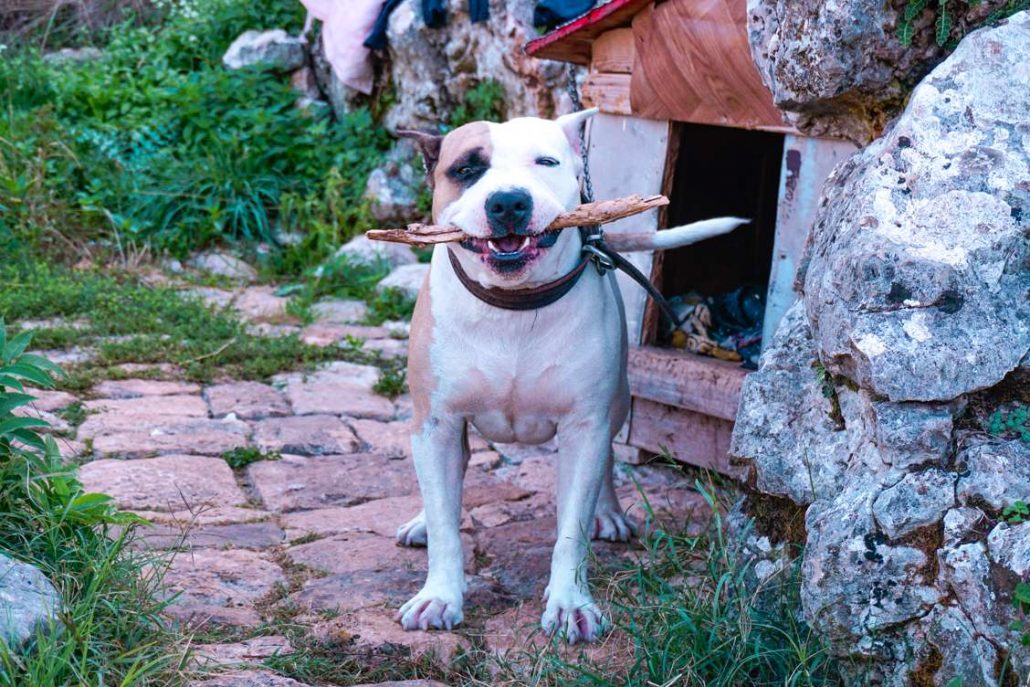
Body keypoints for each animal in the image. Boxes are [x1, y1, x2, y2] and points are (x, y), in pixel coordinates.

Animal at [395, 110, 749, 642]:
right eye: (466, 170)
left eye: (546, 162)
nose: (508, 202)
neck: (513, 307)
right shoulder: (436, 421)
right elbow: (444, 523)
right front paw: (439, 596)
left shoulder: (585, 424)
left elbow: (571, 530)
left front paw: (570, 604)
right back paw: (419, 519)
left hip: (617, 403)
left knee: (606, 462)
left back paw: (609, 513)